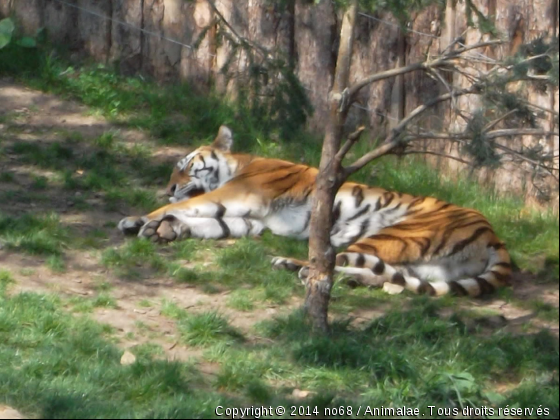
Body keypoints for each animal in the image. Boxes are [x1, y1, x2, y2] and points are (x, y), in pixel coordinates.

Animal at [118, 124, 512, 296]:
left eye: (186, 167)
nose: (168, 187)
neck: (240, 164)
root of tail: (494, 235)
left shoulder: (242, 196)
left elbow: (192, 206)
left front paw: (139, 219)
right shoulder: (250, 221)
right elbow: (207, 222)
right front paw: (168, 228)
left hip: (395, 233)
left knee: (334, 260)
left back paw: (295, 266)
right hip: (424, 265)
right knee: (383, 275)